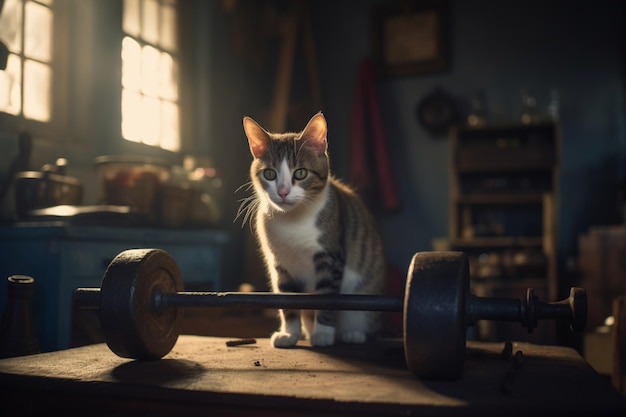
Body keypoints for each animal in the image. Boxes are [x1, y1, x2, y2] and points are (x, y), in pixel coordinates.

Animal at [238, 111, 386, 348]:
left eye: (300, 173)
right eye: (269, 174)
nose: (283, 192)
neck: (293, 222)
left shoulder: (331, 256)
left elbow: (326, 296)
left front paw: (323, 333)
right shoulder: (280, 263)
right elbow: (287, 298)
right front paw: (290, 333)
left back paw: (353, 334)